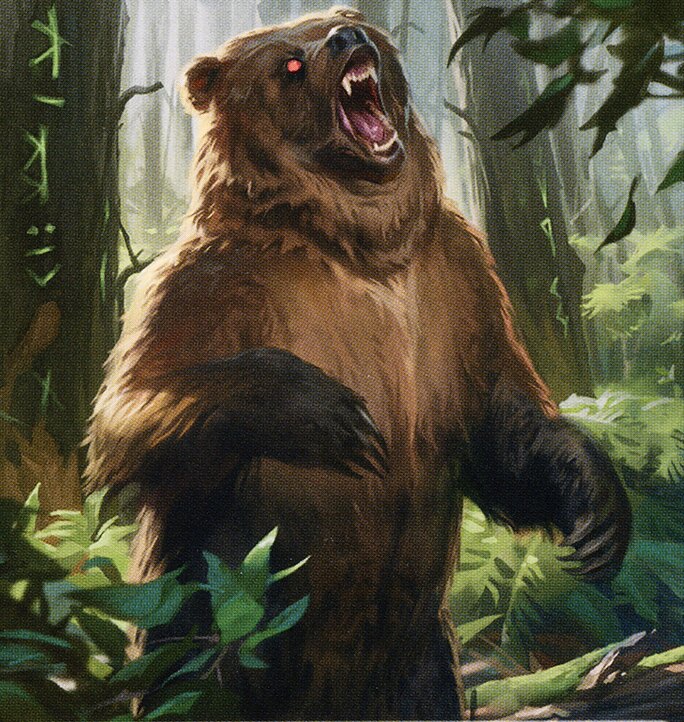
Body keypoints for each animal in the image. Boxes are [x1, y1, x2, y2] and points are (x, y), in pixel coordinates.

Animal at [85, 7, 631, 720]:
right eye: (289, 62)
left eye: (344, 21)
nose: (349, 39)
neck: (360, 247)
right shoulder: (204, 286)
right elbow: (127, 414)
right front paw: (336, 416)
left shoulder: (459, 279)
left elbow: (499, 420)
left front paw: (598, 514)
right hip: (209, 637)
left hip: (418, 659)